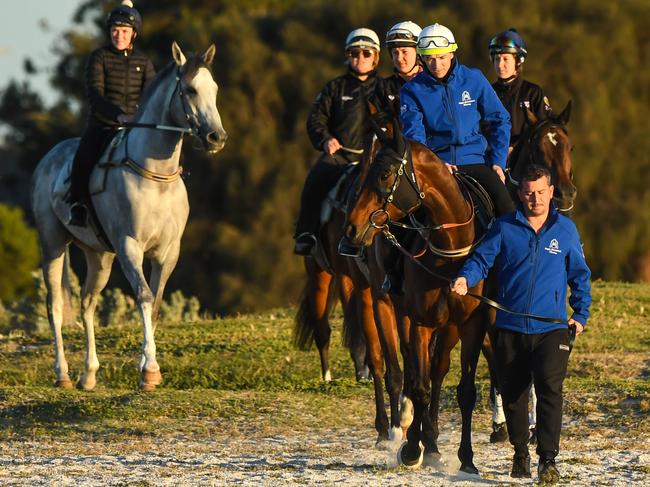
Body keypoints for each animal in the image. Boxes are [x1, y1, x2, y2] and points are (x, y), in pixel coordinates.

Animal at [31, 43, 228, 392]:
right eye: (190, 90)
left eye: (214, 89)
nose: (216, 138)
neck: (155, 177)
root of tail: (47, 159)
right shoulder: (129, 247)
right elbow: (144, 297)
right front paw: (149, 370)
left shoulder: (168, 253)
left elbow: (157, 303)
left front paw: (146, 366)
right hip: (52, 243)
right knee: (55, 307)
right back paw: (63, 374)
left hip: (99, 257)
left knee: (87, 304)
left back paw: (89, 374)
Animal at [344, 126, 486, 472]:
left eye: (384, 174)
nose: (352, 227)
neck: (451, 250)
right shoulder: (420, 320)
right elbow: (418, 386)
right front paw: (411, 448)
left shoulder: (471, 324)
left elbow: (464, 390)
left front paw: (466, 458)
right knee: (405, 368)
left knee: (436, 370)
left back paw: (431, 441)